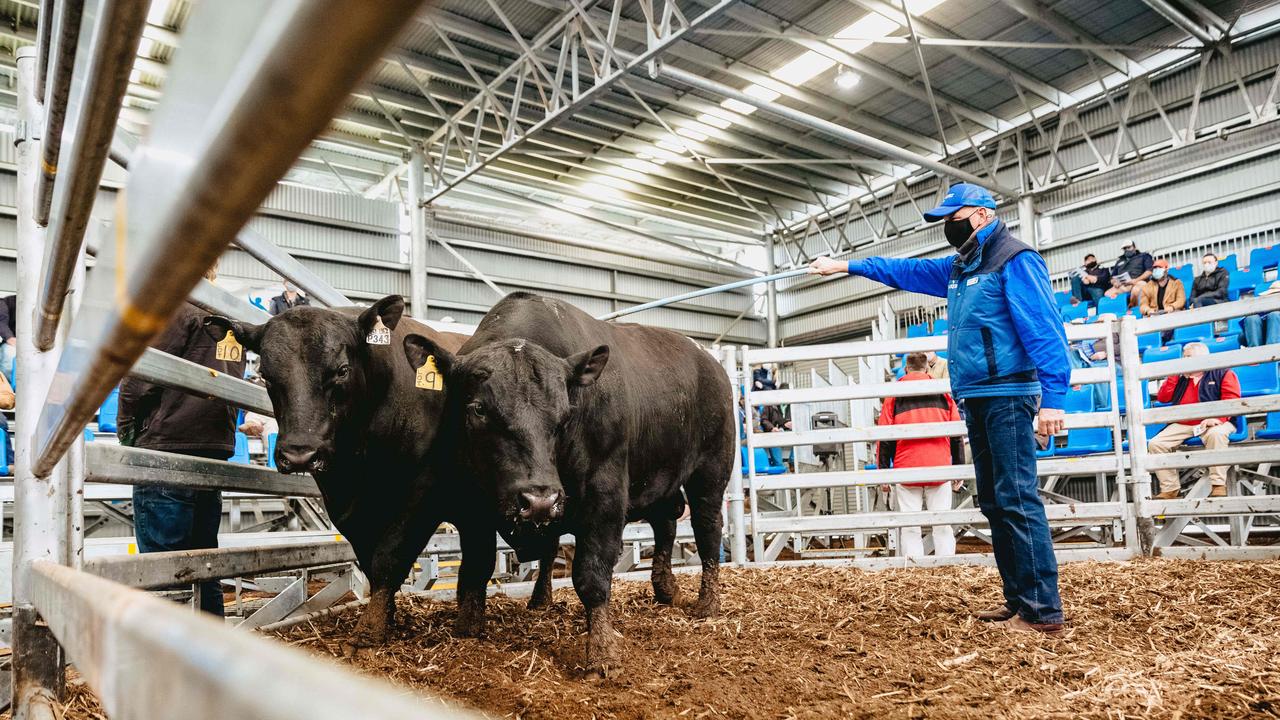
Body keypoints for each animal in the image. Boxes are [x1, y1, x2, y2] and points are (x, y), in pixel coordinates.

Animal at [404, 289, 737, 671]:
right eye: (477, 409)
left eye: (564, 416)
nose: (537, 500)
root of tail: (707, 360)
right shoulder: (472, 503)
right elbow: (476, 568)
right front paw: (469, 629)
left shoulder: (605, 494)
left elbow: (591, 575)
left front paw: (602, 651)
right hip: (660, 475)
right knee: (665, 522)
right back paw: (661, 588)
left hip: (712, 469)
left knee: (707, 527)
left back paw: (707, 604)